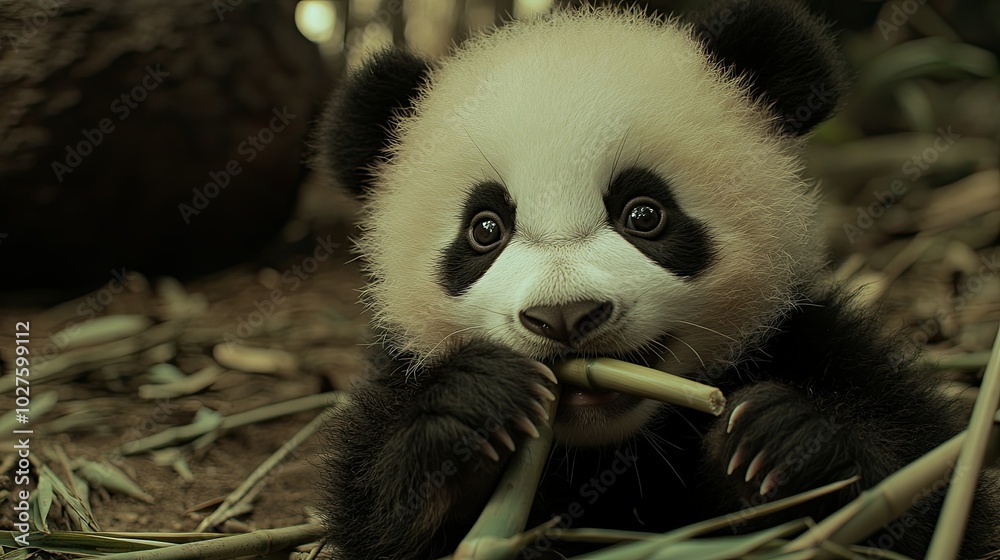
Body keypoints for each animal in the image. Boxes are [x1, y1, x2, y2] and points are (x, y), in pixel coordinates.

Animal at [316, 1, 1000, 558]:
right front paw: (471, 408)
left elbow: (926, 491)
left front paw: (783, 443)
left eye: (644, 214)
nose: (565, 316)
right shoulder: (396, 376)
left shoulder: (808, 336)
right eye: (485, 229)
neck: (614, 446)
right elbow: (372, 515)